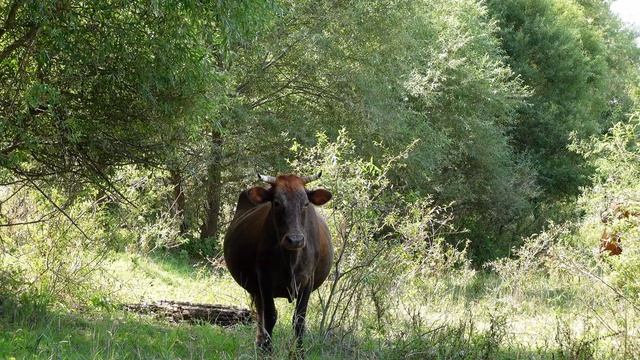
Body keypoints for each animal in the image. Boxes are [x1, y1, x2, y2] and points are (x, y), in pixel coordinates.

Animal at [222, 173, 332, 352]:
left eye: (306, 203)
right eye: (277, 203)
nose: (295, 240)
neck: (291, 259)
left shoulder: (307, 282)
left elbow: (299, 320)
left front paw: (299, 353)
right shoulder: (265, 280)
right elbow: (270, 317)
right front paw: (268, 350)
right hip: (256, 289)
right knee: (261, 314)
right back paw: (260, 345)